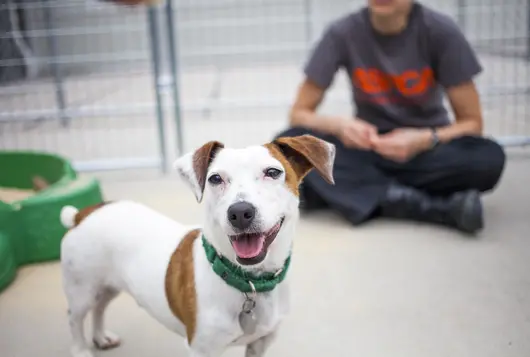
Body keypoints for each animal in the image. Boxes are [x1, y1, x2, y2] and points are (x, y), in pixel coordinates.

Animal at [58, 134, 334, 356]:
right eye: (215, 178)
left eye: (273, 173)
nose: (240, 212)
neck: (249, 283)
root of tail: (84, 213)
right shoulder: (202, 349)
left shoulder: (260, 342)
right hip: (82, 289)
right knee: (74, 318)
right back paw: (80, 350)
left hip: (108, 285)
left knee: (100, 307)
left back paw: (100, 337)